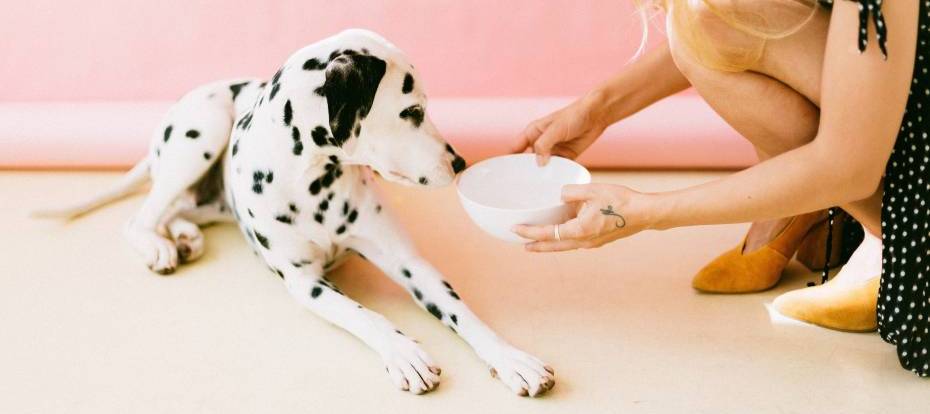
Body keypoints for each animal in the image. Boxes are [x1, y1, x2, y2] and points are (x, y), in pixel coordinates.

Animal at [38, 29, 552, 398]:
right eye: (411, 111)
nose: (460, 162)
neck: (314, 183)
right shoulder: (306, 283)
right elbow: (365, 315)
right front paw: (403, 351)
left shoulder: (412, 264)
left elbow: (463, 313)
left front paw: (512, 358)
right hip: (201, 132)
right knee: (140, 216)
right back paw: (159, 247)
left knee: (175, 210)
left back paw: (183, 236)